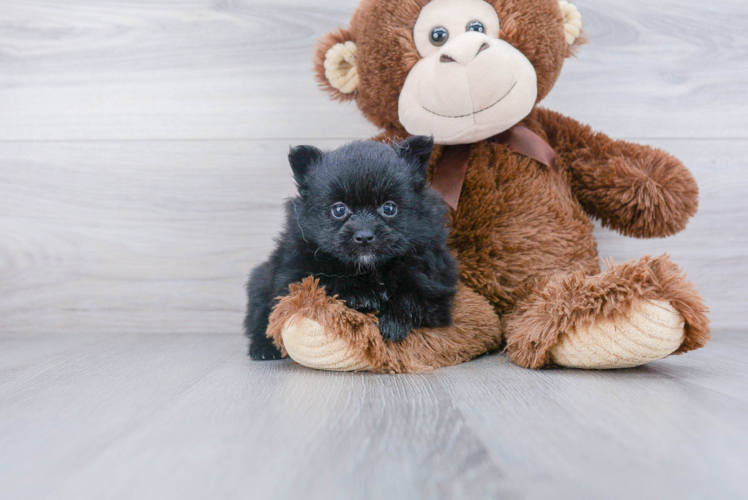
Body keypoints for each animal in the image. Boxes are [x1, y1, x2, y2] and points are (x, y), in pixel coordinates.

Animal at [244, 137, 456, 362]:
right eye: (338, 209)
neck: (369, 268)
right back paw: (264, 348)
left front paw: (394, 322)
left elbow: (413, 294)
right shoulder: (296, 273)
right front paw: (360, 295)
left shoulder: (434, 282)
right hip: (260, 282)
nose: (364, 236)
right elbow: (327, 280)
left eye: (389, 208)